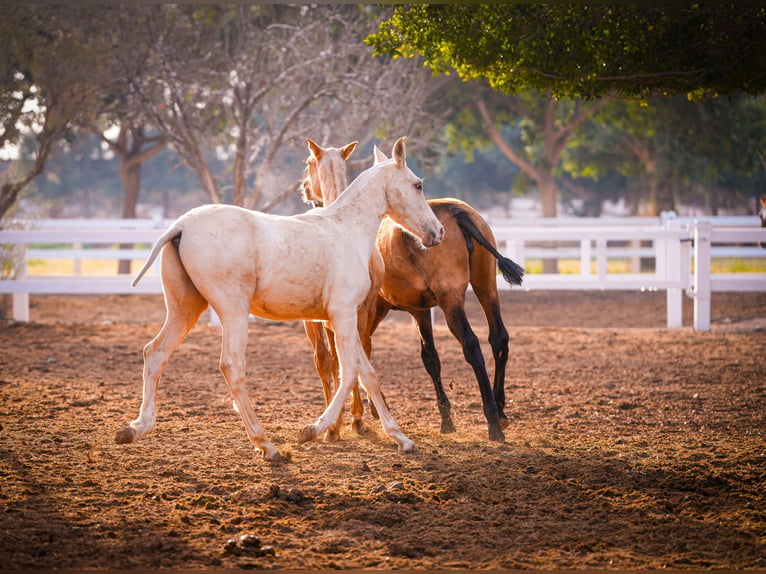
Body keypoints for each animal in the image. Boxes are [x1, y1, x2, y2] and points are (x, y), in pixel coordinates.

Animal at [117, 140, 448, 464]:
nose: (438, 232)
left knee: (155, 352)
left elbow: (368, 374)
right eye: (418, 184)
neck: (345, 230)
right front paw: (313, 430)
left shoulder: (344, 320)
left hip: (185, 309)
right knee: (231, 366)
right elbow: (349, 371)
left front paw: (402, 439)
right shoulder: (342, 315)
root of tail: (181, 226)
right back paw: (266, 445)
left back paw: (136, 429)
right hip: (233, 312)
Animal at [304, 142, 524, 444]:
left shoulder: (356, 314)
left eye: (308, 164)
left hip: (451, 301)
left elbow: (345, 358)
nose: (304, 188)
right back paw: (500, 409)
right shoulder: (418, 310)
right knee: (498, 337)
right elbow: (429, 358)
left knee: (472, 346)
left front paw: (347, 421)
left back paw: (492, 419)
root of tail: (456, 212)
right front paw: (444, 418)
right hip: (486, 287)